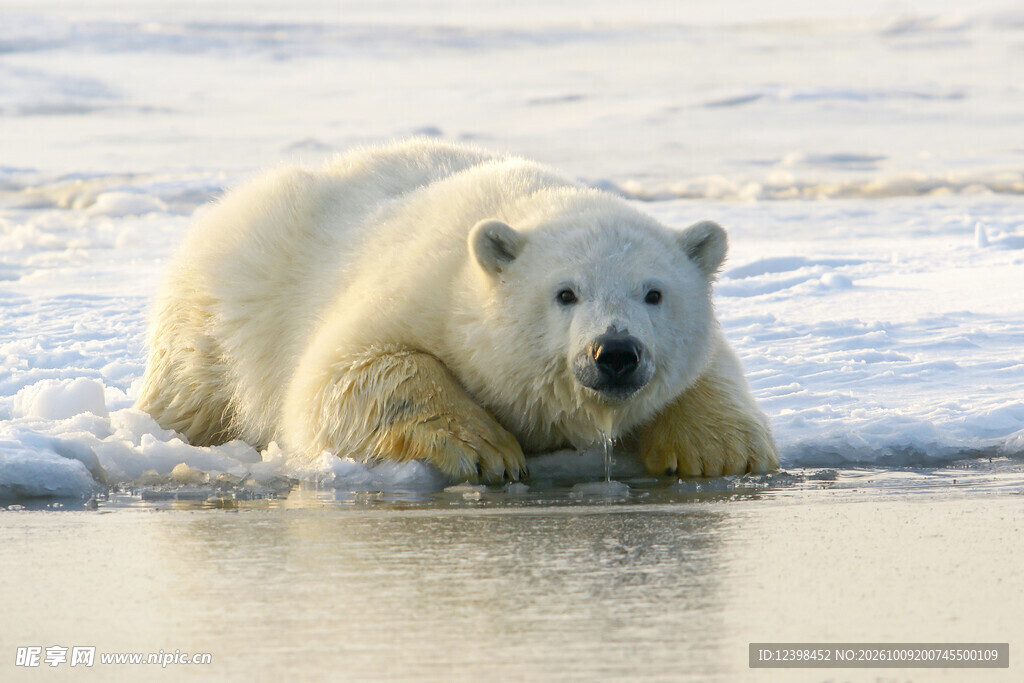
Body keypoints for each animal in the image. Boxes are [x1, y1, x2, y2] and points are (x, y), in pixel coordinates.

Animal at [136, 139, 778, 482]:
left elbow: (711, 367)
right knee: (192, 388)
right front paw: (486, 450)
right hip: (225, 307)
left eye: (654, 293)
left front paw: (719, 452)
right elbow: (344, 376)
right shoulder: (416, 291)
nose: (615, 353)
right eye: (565, 293)